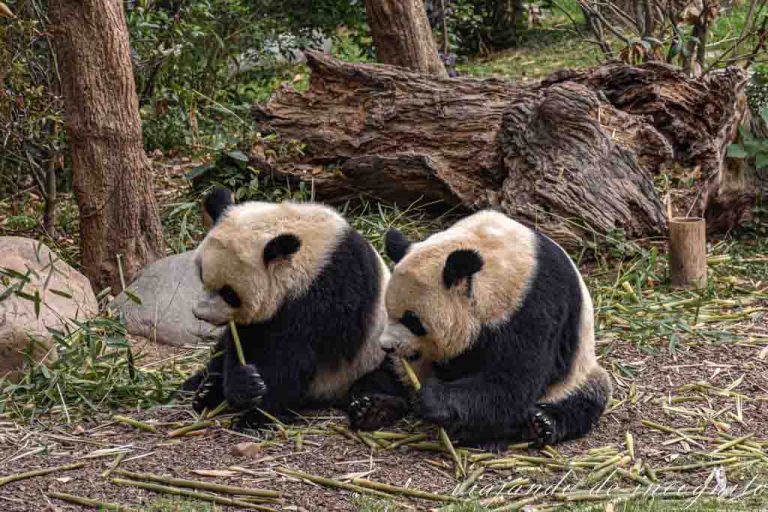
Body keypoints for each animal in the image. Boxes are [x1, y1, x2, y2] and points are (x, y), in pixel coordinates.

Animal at [181, 188, 390, 427]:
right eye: (201, 275)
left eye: (229, 293)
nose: (200, 314)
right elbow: (242, 340)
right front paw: (245, 384)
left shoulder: (328, 295)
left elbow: (293, 357)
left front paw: (256, 414)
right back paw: (203, 390)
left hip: (370, 355)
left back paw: (373, 410)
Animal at [347, 210, 611, 449]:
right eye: (389, 311)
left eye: (413, 321)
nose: (387, 346)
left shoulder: (534, 307)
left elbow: (512, 382)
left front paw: (433, 401)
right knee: (384, 376)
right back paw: (372, 407)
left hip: (577, 371)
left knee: (585, 400)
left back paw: (537, 425)